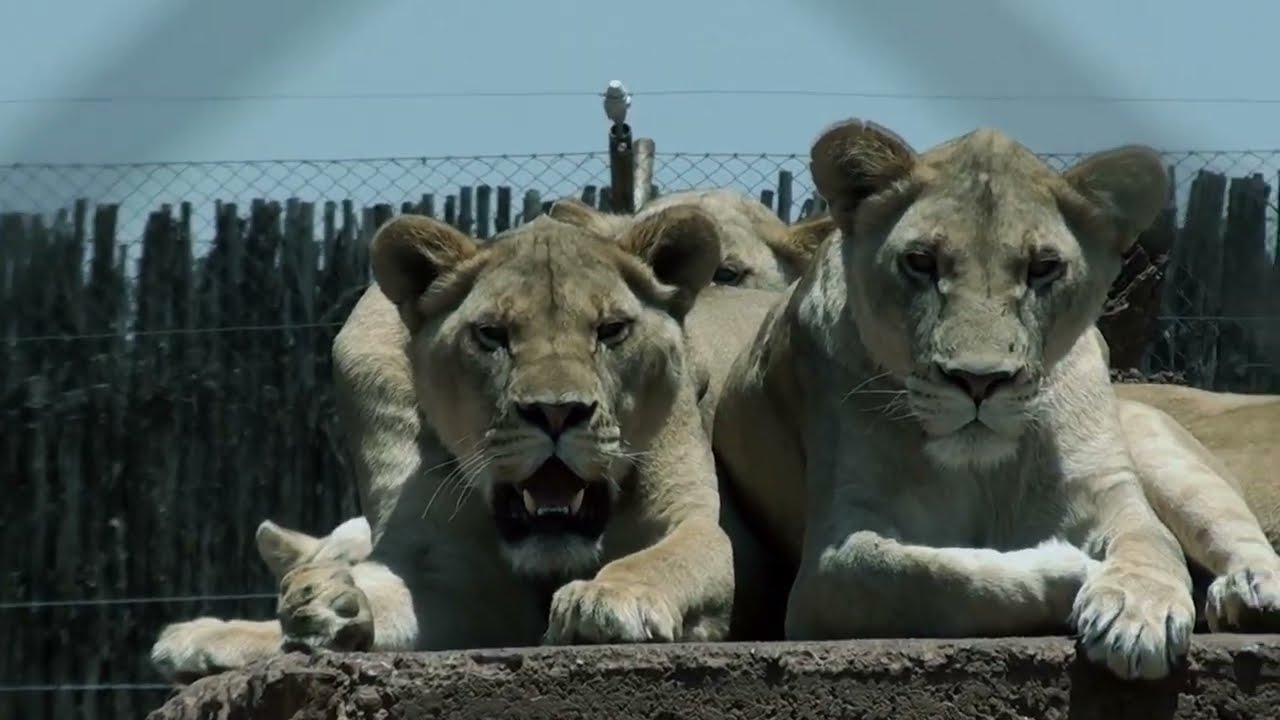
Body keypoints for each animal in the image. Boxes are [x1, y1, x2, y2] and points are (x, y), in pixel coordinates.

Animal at [151, 206, 736, 679]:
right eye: (492, 334)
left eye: (612, 330)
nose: (555, 411)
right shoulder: (453, 577)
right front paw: (325, 609)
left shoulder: (689, 521)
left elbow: (671, 557)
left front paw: (609, 595)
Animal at [711, 118, 1280, 681]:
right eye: (920, 262)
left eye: (1043, 268)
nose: (979, 381)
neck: (980, 469)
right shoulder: (830, 561)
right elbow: (925, 575)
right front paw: (1071, 567)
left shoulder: (1106, 491)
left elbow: (1154, 544)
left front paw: (1136, 611)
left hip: (1168, 459)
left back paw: (1250, 595)